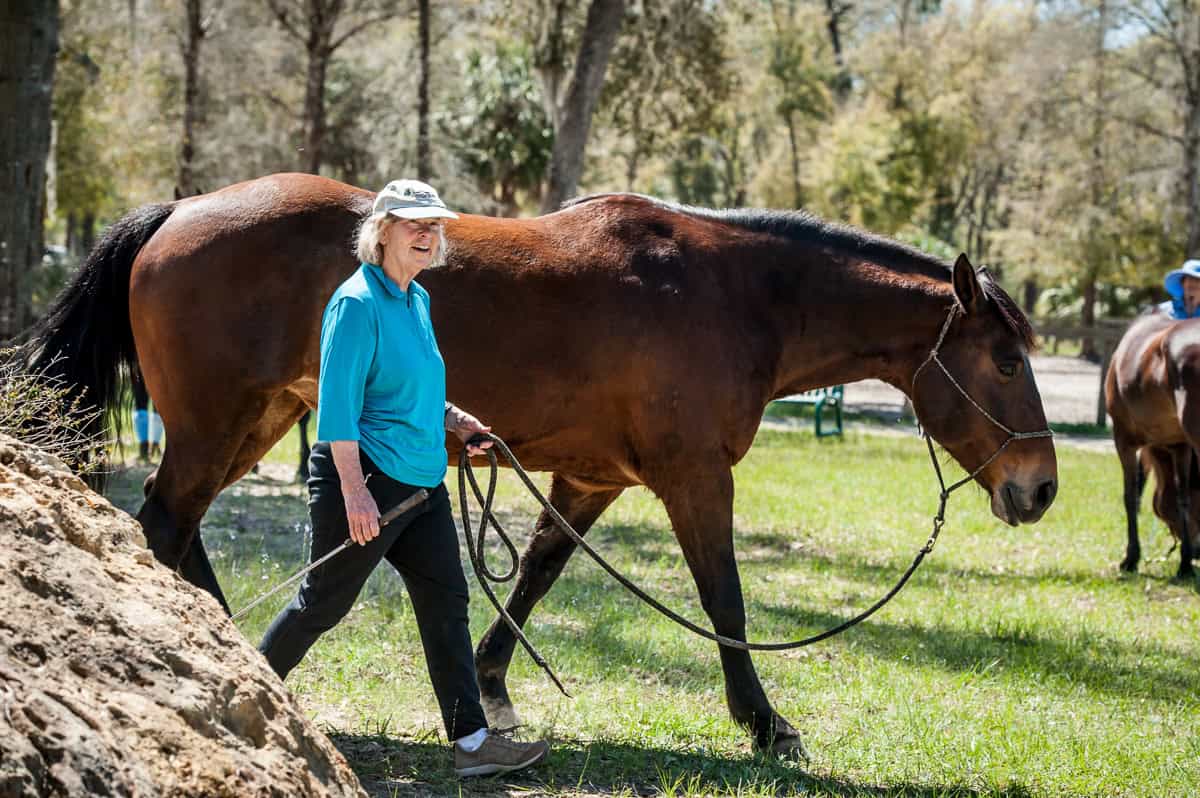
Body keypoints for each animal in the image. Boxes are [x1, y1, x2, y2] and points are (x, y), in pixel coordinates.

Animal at [29, 173, 1058, 756]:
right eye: (1008, 361)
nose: (1040, 487)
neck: (730, 294)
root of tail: (179, 211)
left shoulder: (590, 478)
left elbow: (535, 574)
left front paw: (493, 685)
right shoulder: (695, 477)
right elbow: (724, 598)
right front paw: (766, 724)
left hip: (259, 421)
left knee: (176, 529)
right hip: (216, 423)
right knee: (165, 523)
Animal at [1106, 310, 1200, 579]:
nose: (1198, 551)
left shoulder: (1123, 440)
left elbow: (1131, 496)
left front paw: (1131, 558)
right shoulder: (1180, 446)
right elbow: (1181, 496)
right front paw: (1185, 563)